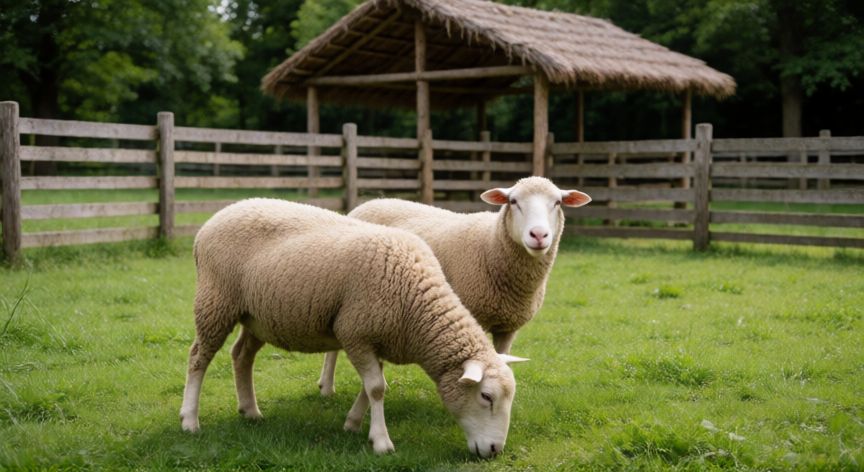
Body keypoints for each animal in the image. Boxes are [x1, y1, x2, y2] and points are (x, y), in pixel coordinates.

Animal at [180, 198, 527, 457]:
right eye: (486, 397)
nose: (494, 451)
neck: (416, 306)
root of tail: (217, 217)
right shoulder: (355, 332)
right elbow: (376, 388)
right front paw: (382, 442)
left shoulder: (378, 338)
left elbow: (371, 386)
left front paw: (353, 423)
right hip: (216, 301)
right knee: (198, 358)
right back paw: (189, 421)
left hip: (257, 316)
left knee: (242, 355)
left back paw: (250, 411)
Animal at [318, 177, 589, 396]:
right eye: (513, 201)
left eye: (557, 202)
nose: (539, 235)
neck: (491, 245)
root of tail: (369, 203)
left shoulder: (508, 327)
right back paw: (327, 386)